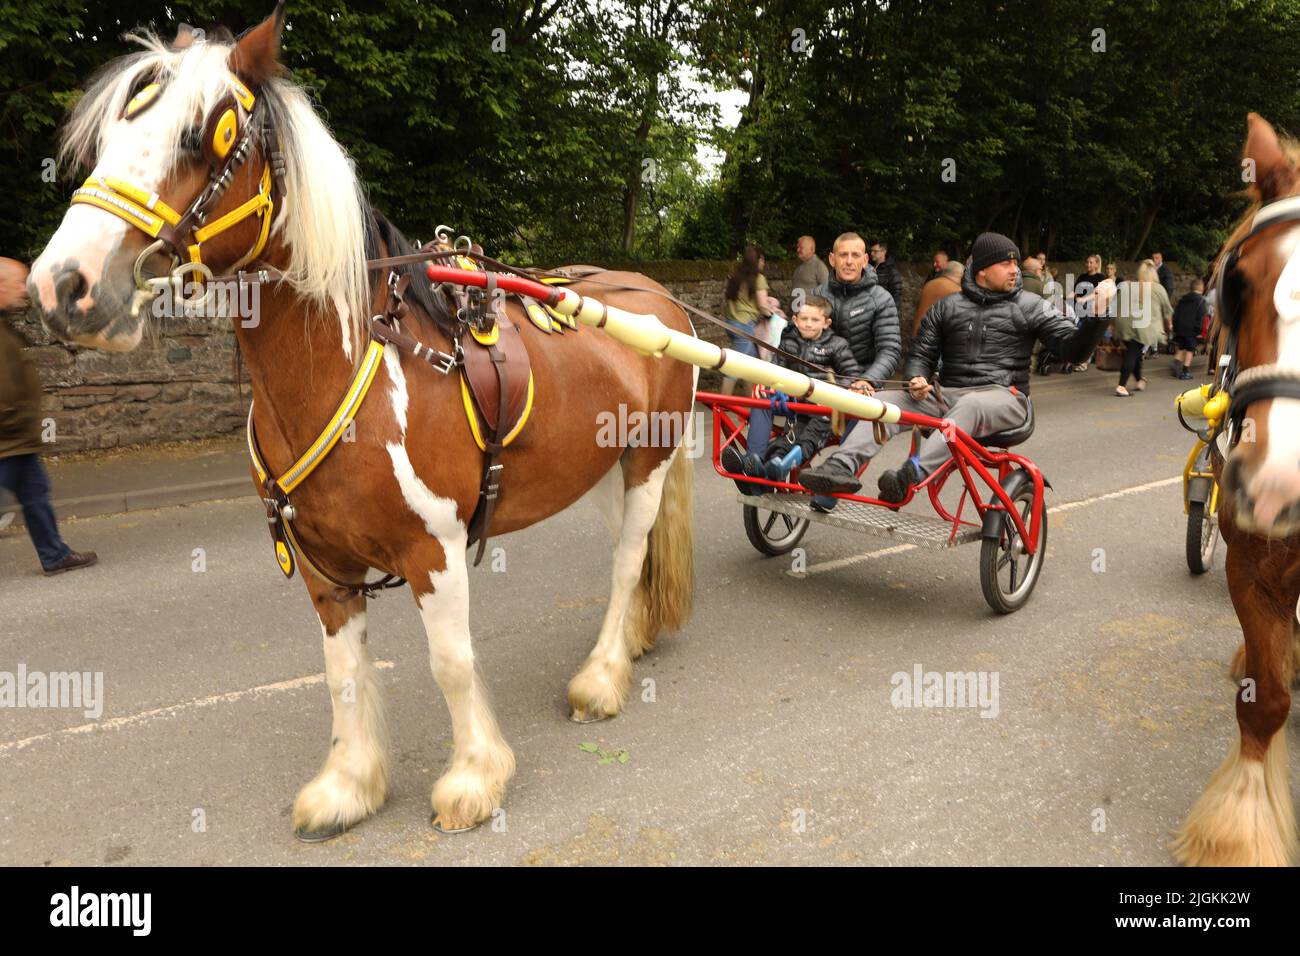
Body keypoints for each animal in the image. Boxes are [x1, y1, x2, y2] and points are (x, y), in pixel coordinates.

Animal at [26, 9, 696, 840]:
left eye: (204, 135)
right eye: (108, 136)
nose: (63, 287)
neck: (351, 371)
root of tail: (655, 294)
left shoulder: (434, 548)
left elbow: (451, 663)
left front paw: (473, 777)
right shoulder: (321, 562)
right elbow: (342, 671)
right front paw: (349, 783)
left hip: (650, 459)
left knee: (628, 558)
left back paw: (602, 676)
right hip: (606, 466)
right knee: (625, 554)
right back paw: (628, 642)